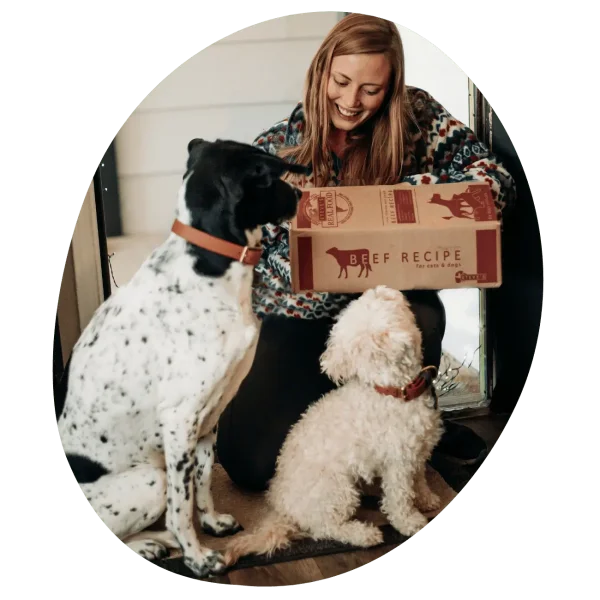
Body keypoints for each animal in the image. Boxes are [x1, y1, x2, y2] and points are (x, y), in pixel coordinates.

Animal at [56, 138, 310, 580]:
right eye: (269, 177)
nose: (299, 196)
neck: (211, 265)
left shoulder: (210, 415)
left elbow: (203, 480)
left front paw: (212, 523)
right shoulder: (179, 419)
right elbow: (181, 505)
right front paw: (197, 556)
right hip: (150, 479)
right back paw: (150, 544)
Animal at [224, 284, 446, 564]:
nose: (380, 287)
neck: (394, 392)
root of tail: (284, 508)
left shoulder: (416, 452)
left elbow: (420, 479)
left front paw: (427, 499)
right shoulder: (398, 462)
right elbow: (400, 498)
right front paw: (411, 522)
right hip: (338, 491)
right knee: (325, 528)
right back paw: (364, 534)